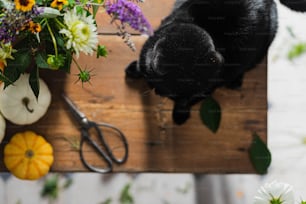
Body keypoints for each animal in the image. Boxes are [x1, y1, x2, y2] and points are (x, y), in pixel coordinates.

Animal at [125, 0, 306, 125]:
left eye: (196, 76)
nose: (158, 91)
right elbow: (141, 65)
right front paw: (133, 70)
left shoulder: (203, 90)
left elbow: (184, 103)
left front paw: (179, 115)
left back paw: (236, 81)